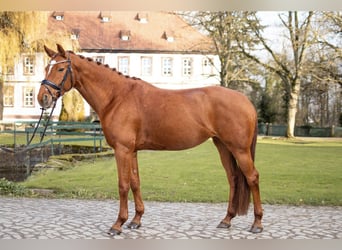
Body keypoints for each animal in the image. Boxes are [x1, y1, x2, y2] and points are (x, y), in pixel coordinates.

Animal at [37, 44, 264, 235]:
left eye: (60, 69)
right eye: (46, 67)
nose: (42, 98)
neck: (116, 97)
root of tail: (245, 100)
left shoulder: (122, 150)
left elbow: (123, 185)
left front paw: (118, 224)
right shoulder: (132, 151)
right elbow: (135, 182)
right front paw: (136, 220)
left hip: (239, 149)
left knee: (252, 177)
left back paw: (257, 223)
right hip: (223, 146)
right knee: (233, 178)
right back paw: (226, 220)